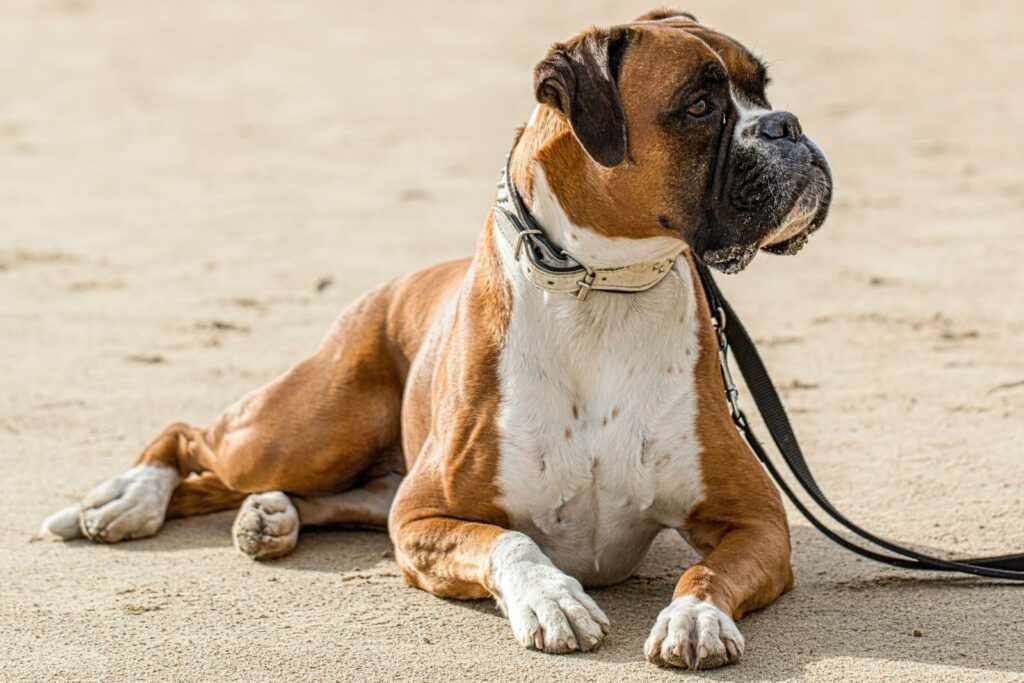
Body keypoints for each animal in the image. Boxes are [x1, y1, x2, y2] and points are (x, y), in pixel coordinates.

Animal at [39, 9, 831, 671]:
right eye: (699, 106)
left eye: (762, 89)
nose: (788, 125)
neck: (600, 286)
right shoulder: (425, 518)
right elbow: (511, 540)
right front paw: (554, 599)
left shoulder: (756, 522)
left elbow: (708, 568)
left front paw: (694, 618)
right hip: (303, 430)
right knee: (190, 436)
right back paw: (127, 500)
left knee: (335, 496)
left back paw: (271, 516)